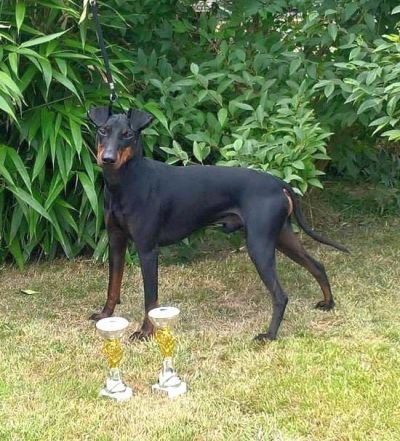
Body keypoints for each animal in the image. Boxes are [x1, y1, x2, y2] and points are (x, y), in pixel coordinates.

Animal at [87, 106, 346, 340]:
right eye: (102, 130)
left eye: (128, 134)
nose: (107, 158)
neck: (125, 182)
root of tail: (278, 182)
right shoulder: (116, 242)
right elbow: (113, 286)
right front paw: (105, 316)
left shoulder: (147, 250)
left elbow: (151, 300)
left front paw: (145, 332)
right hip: (281, 237)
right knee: (317, 266)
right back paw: (328, 302)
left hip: (259, 246)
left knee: (281, 295)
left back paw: (269, 335)